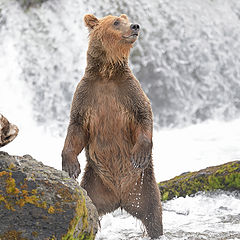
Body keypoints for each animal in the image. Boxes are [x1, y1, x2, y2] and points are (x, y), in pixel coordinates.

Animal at [62, 14, 163, 239]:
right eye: (116, 22)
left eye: (126, 18)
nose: (135, 26)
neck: (107, 74)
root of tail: (120, 199)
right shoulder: (86, 94)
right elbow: (76, 128)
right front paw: (70, 165)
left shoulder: (129, 91)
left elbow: (144, 115)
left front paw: (139, 155)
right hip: (93, 184)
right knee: (90, 212)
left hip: (144, 186)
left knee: (154, 214)